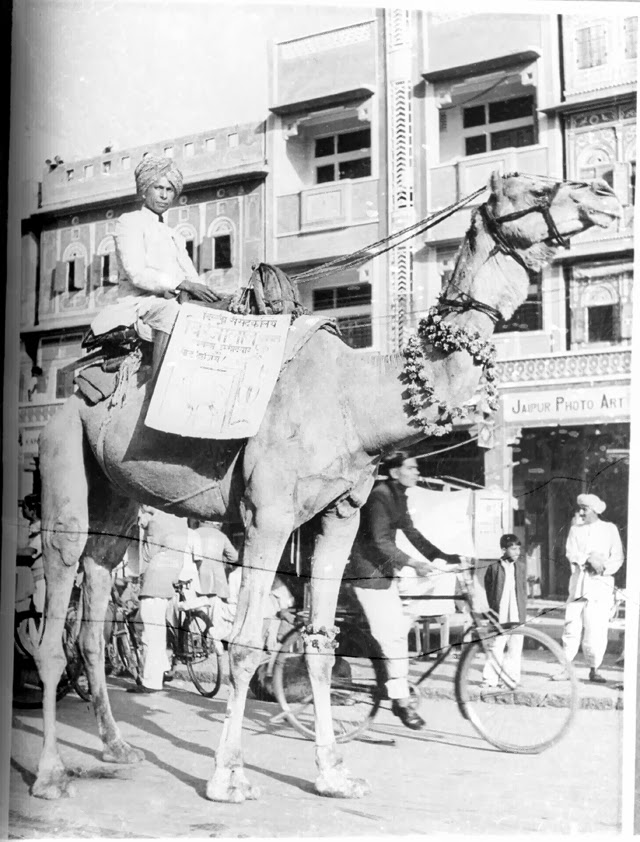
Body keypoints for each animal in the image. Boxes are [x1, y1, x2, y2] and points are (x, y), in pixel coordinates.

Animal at [31, 172, 620, 800]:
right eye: (526, 187)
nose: (605, 192)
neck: (357, 400)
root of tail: (68, 401)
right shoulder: (266, 517)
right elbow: (245, 645)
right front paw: (228, 776)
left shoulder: (339, 515)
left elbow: (318, 641)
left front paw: (334, 773)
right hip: (64, 464)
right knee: (54, 618)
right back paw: (50, 773)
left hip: (114, 499)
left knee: (94, 604)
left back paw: (118, 749)